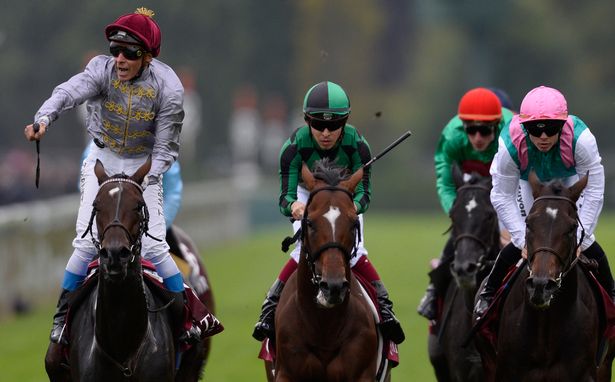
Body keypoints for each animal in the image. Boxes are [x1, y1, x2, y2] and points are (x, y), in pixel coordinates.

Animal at [270, 160, 388, 380]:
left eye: (354, 223)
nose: (333, 287)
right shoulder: (286, 373)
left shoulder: (362, 372)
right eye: (309, 222)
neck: (324, 328)